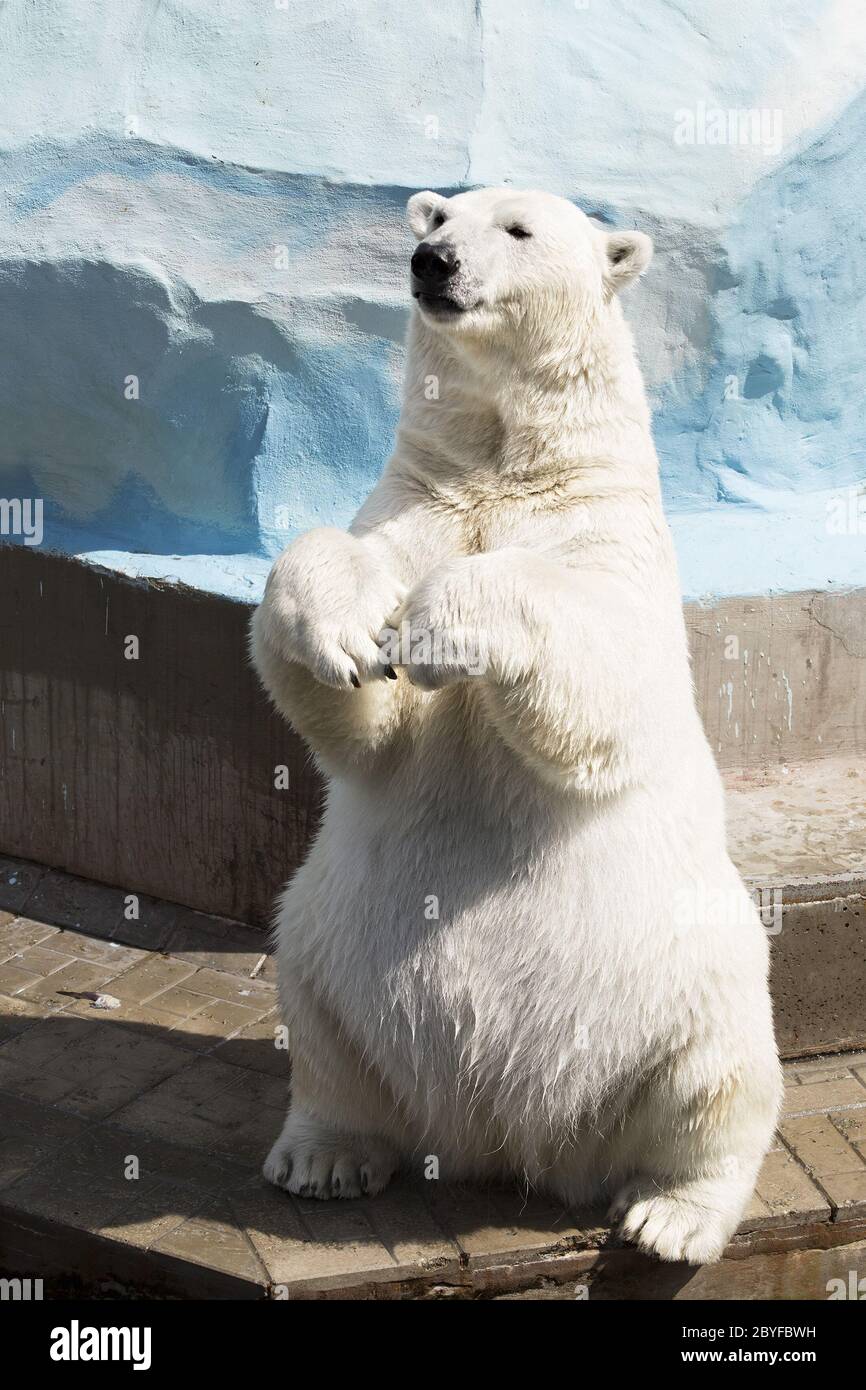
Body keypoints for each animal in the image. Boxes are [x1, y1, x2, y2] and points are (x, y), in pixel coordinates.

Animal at [250, 186, 781, 1264]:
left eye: (519, 229)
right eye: (439, 214)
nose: (432, 262)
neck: (508, 466)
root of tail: (511, 1141)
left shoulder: (607, 537)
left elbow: (608, 668)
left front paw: (435, 624)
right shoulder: (416, 504)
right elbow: (359, 698)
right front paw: (348, 631)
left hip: (694, 981)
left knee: (716, 1085)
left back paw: (669, 1216)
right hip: (326, 946)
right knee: (321, 1038)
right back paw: (324, 1158)